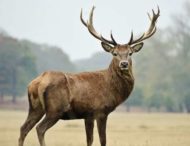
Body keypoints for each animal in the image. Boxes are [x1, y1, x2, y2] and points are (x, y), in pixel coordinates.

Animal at [18, 5, 160, 146]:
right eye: (114, 53)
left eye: (130, 53)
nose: (124, 64)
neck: (111, 88)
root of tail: (38, 82)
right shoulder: (99, 111)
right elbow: (102, 140)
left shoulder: (88, 115)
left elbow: (90, 140)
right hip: (55, 109)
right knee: (40, 128)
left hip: (35, 108)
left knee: (24, 128)